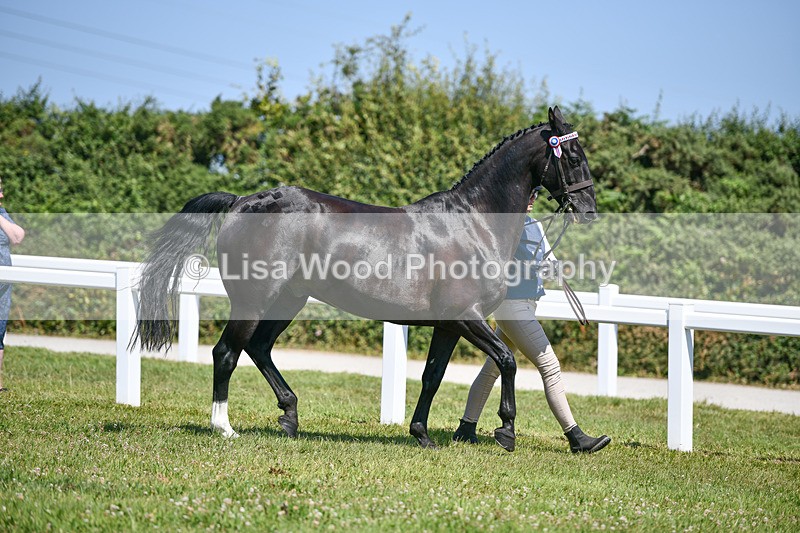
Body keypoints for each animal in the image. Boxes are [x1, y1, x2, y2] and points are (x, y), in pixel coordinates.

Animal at [134, 106, 596, 451]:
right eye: (573, 158)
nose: (589, 209)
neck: (473, 222)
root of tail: (243, 201)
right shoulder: (467, 316)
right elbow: (506, 360)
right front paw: (506, 430)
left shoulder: (449, 324)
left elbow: (432, 377)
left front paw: (422, 434)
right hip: (253, 301)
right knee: (227, 353)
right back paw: (224, 427)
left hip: (288, 301)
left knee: (259, 348)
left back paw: (289, 416)